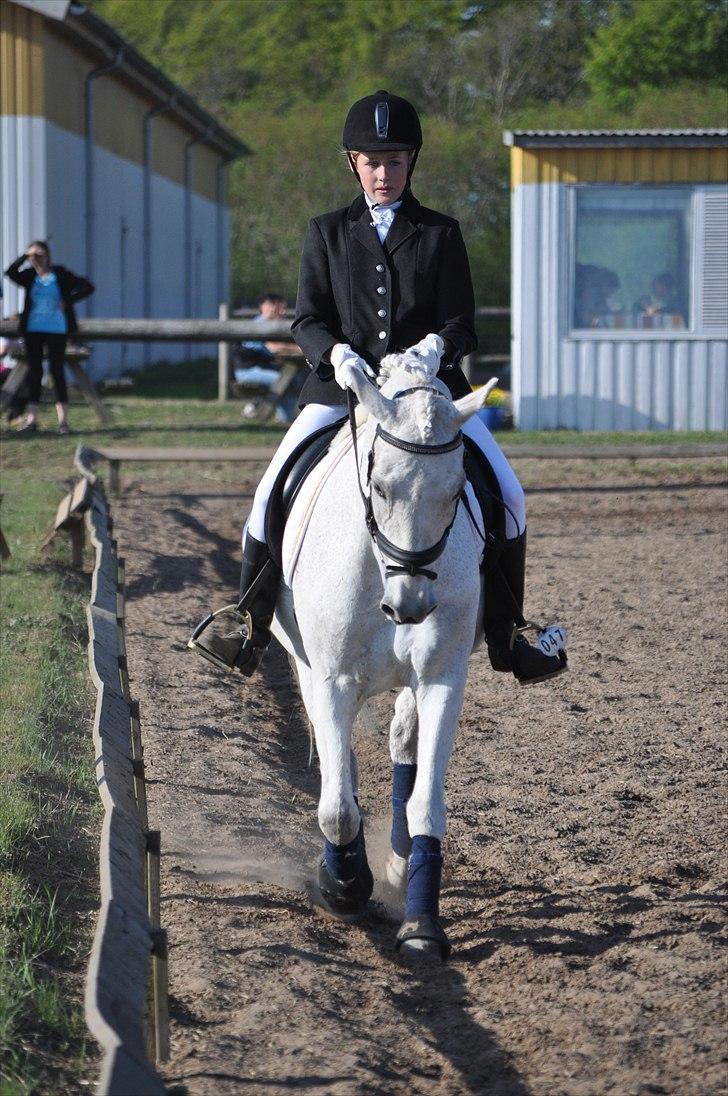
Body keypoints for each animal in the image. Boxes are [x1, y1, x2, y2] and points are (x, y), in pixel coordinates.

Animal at [269, 350, 491, 960]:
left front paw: (420, 924)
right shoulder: (333, 681)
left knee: (402, 744)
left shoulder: (441, 679)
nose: (410, 606)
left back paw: (396, 865)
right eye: (382, 488)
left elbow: (425, 804)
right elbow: (337, 808)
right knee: (340, 763)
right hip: (309, 671)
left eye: (457, 491)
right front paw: (343, 886)